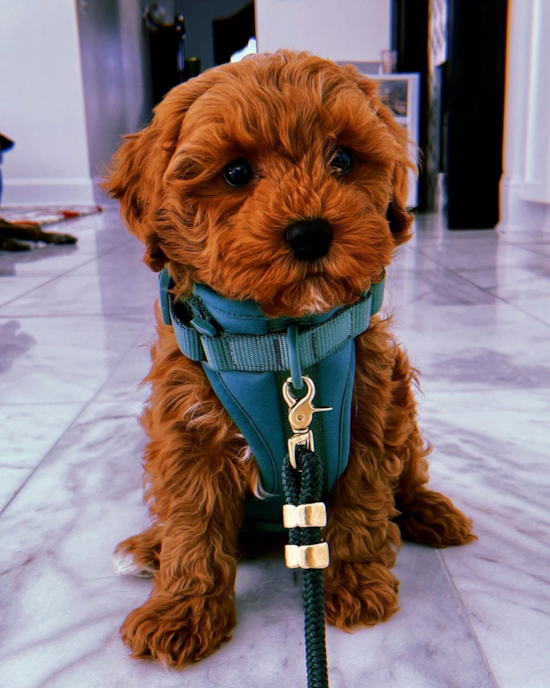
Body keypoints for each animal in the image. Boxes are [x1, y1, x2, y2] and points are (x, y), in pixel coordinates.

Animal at [105, 51, 476, 668]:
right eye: (235, 173)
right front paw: (182, 610)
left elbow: (362, 503)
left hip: (402, 408)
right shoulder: (186, 429)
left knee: (409, 476)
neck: (285, 341)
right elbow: (192, 525)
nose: (311, 233)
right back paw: (148, 546)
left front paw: (355, 584)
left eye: (343, 159)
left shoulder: (369, 415)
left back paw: (433, 512)